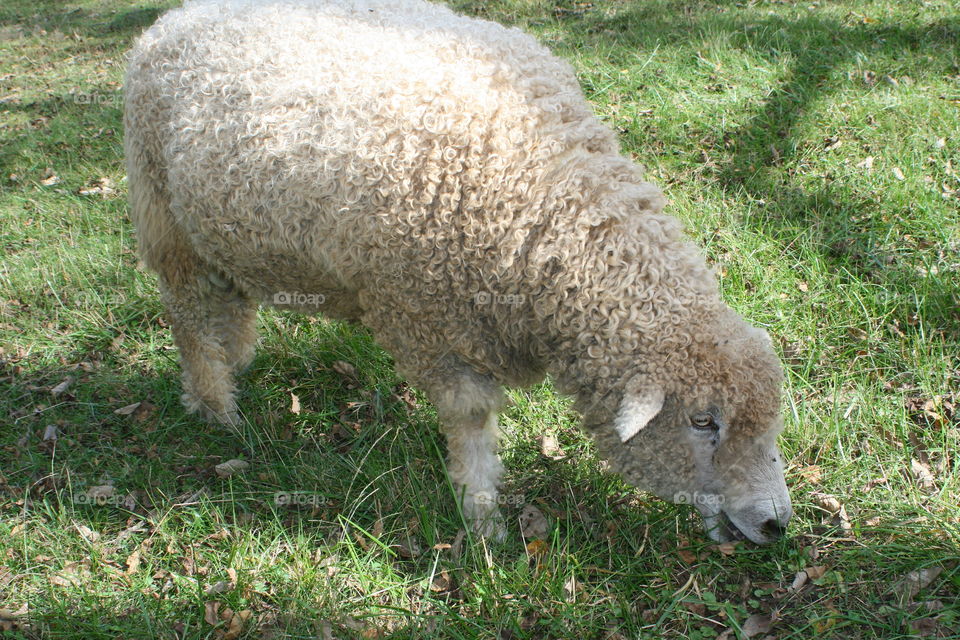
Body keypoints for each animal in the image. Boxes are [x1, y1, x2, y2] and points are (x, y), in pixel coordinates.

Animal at [124, 0, 792, 544]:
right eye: (703, 422)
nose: (775, 524)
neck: (544, 199)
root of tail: (174, 17)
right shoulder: (426, 318)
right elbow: (471, 419)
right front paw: (482, 517)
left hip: (221, 226)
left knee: (230, 299)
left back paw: (235, 362)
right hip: (163, 214)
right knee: (187, 314)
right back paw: (215, 405)